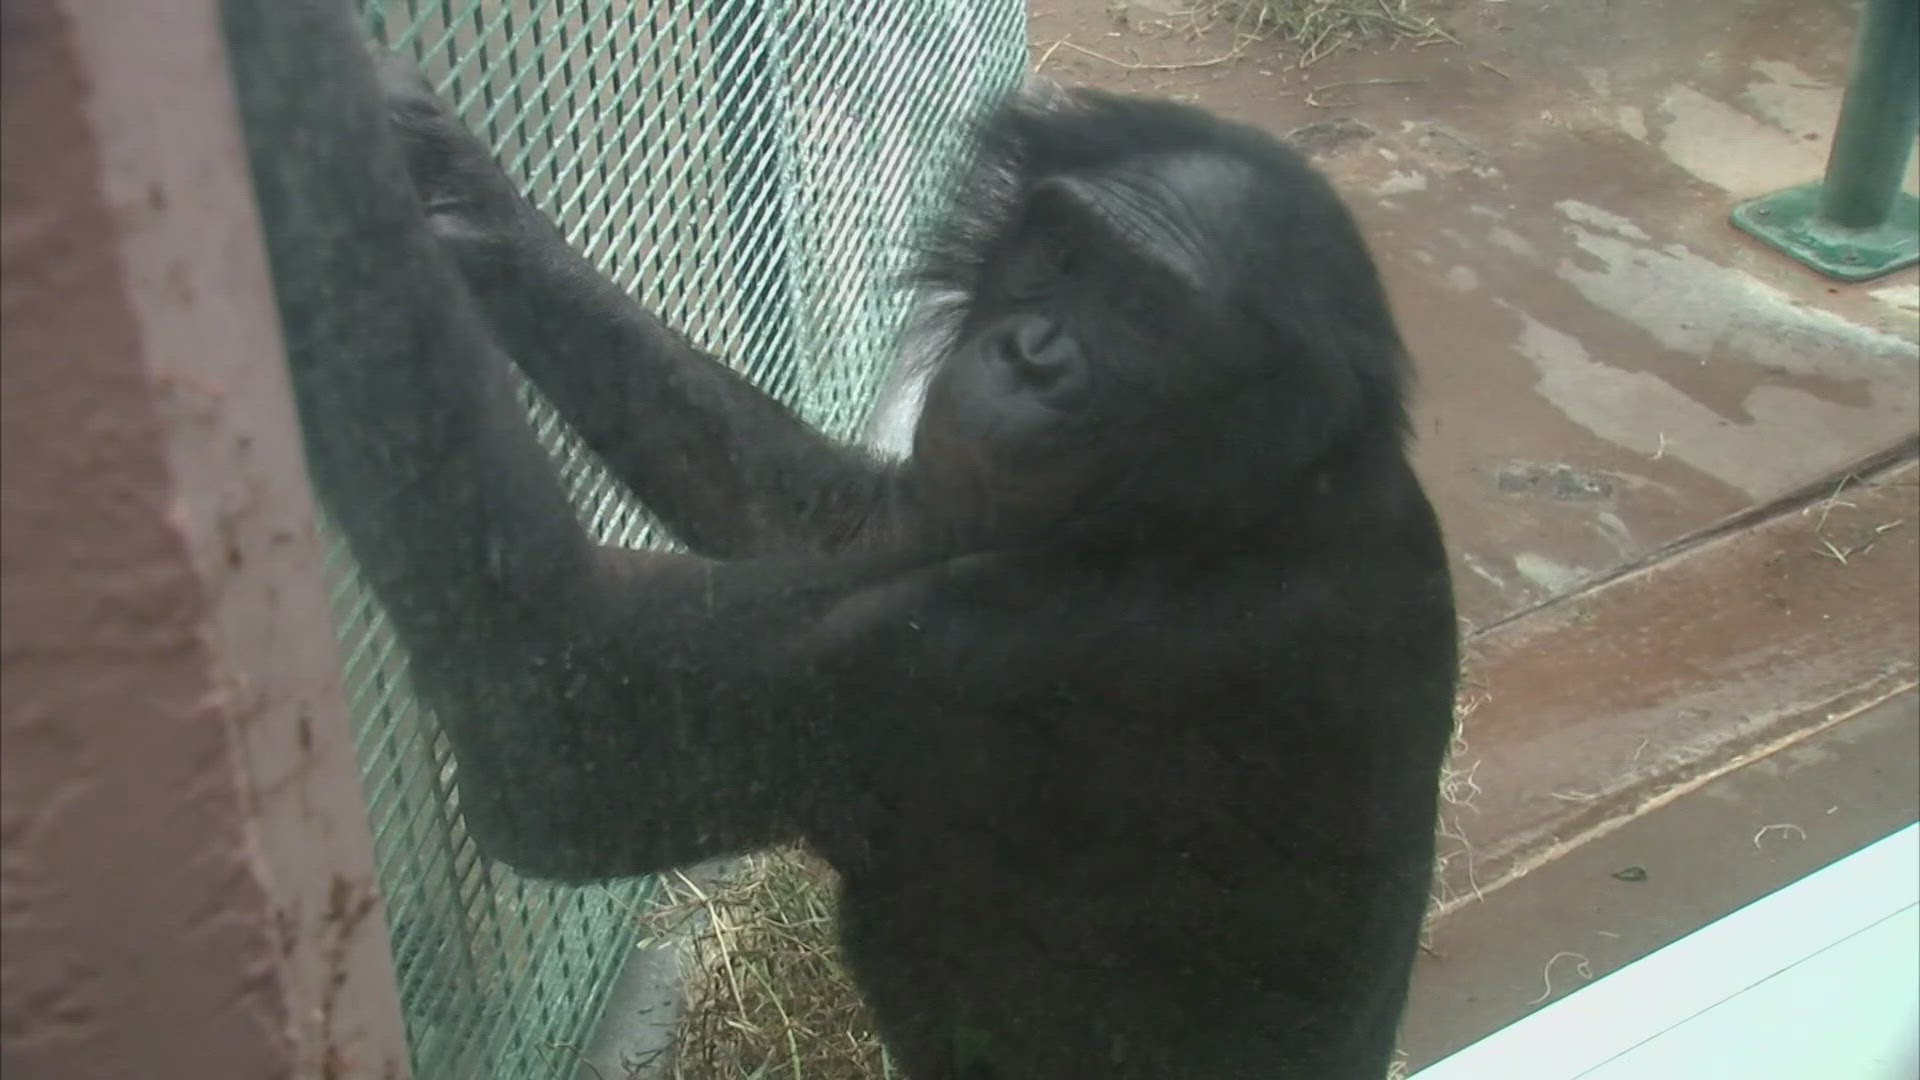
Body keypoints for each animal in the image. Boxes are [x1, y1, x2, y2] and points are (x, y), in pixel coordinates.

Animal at [220, 4, 1451, 1068]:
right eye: (1063, 256)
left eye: (1145, 314)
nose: (1035, 355)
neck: (1240, 501)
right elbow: (855, 519)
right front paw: (452, 184)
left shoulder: (1042, 654)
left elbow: (562, 728)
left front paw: (282, 76)